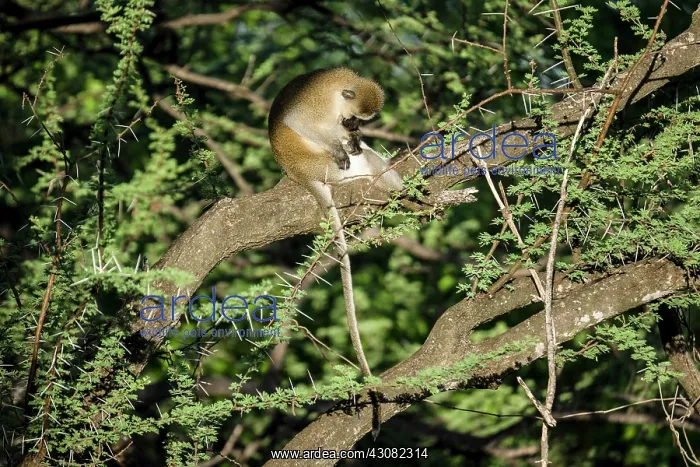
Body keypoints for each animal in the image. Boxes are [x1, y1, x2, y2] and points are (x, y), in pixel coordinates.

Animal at [268, 67, 403, 439]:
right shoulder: (316, 104)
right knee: (349, 159)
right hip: (326, 169)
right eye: (354, 117)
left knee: (367, 156)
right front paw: (340, 143)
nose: (353, 128)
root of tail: (302, 175)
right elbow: (300, 122)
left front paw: (354, 140)